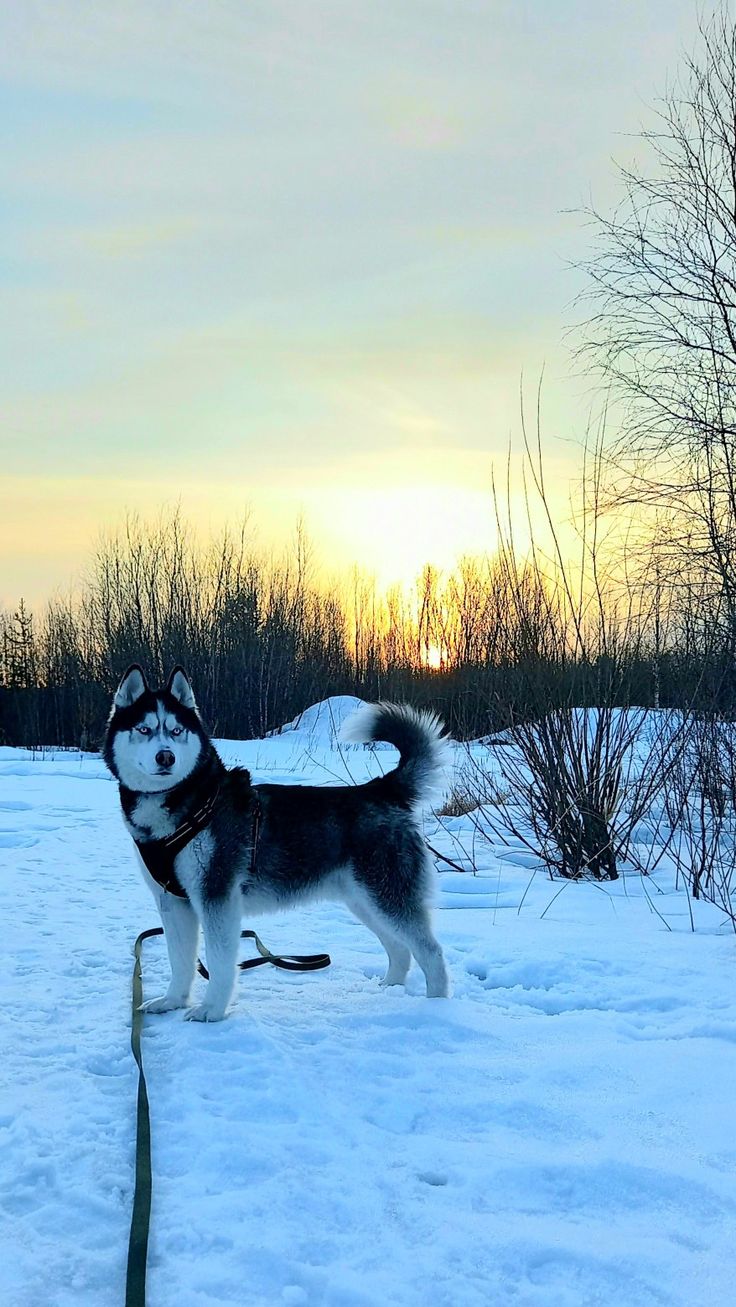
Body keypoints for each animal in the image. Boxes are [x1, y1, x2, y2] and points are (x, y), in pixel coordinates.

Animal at [103, 663, 449, 1019]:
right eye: (144, 729)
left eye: (176, 731)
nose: (165, 757)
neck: (188, 803)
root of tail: (380, 788)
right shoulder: (173, 902)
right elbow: (180, 960)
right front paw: (173, 1000)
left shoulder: (217, 896)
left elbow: (219, 961)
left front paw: (212, 1010)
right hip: (364, 900)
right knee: (399, 948)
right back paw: (389, 990)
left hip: (386, 895)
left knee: (431, 951)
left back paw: (436, 1008)